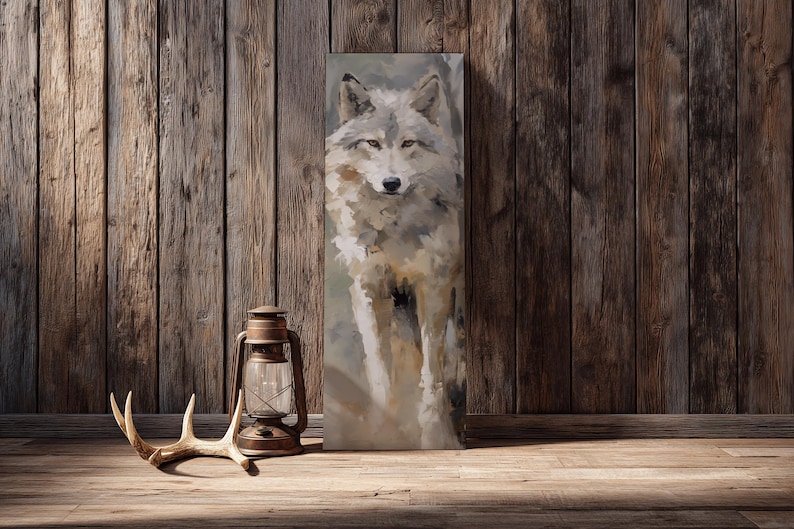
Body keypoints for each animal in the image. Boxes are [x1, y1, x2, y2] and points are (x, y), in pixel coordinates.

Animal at [325, 71, 465, 449]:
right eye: (373, 143)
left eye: (408, 143)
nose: (392, 182)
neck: (393, 225)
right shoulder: (369, 290)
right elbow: (379, 370)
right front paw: (381, 433)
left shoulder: (433, 287)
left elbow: (431, 371)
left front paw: (433, 436)